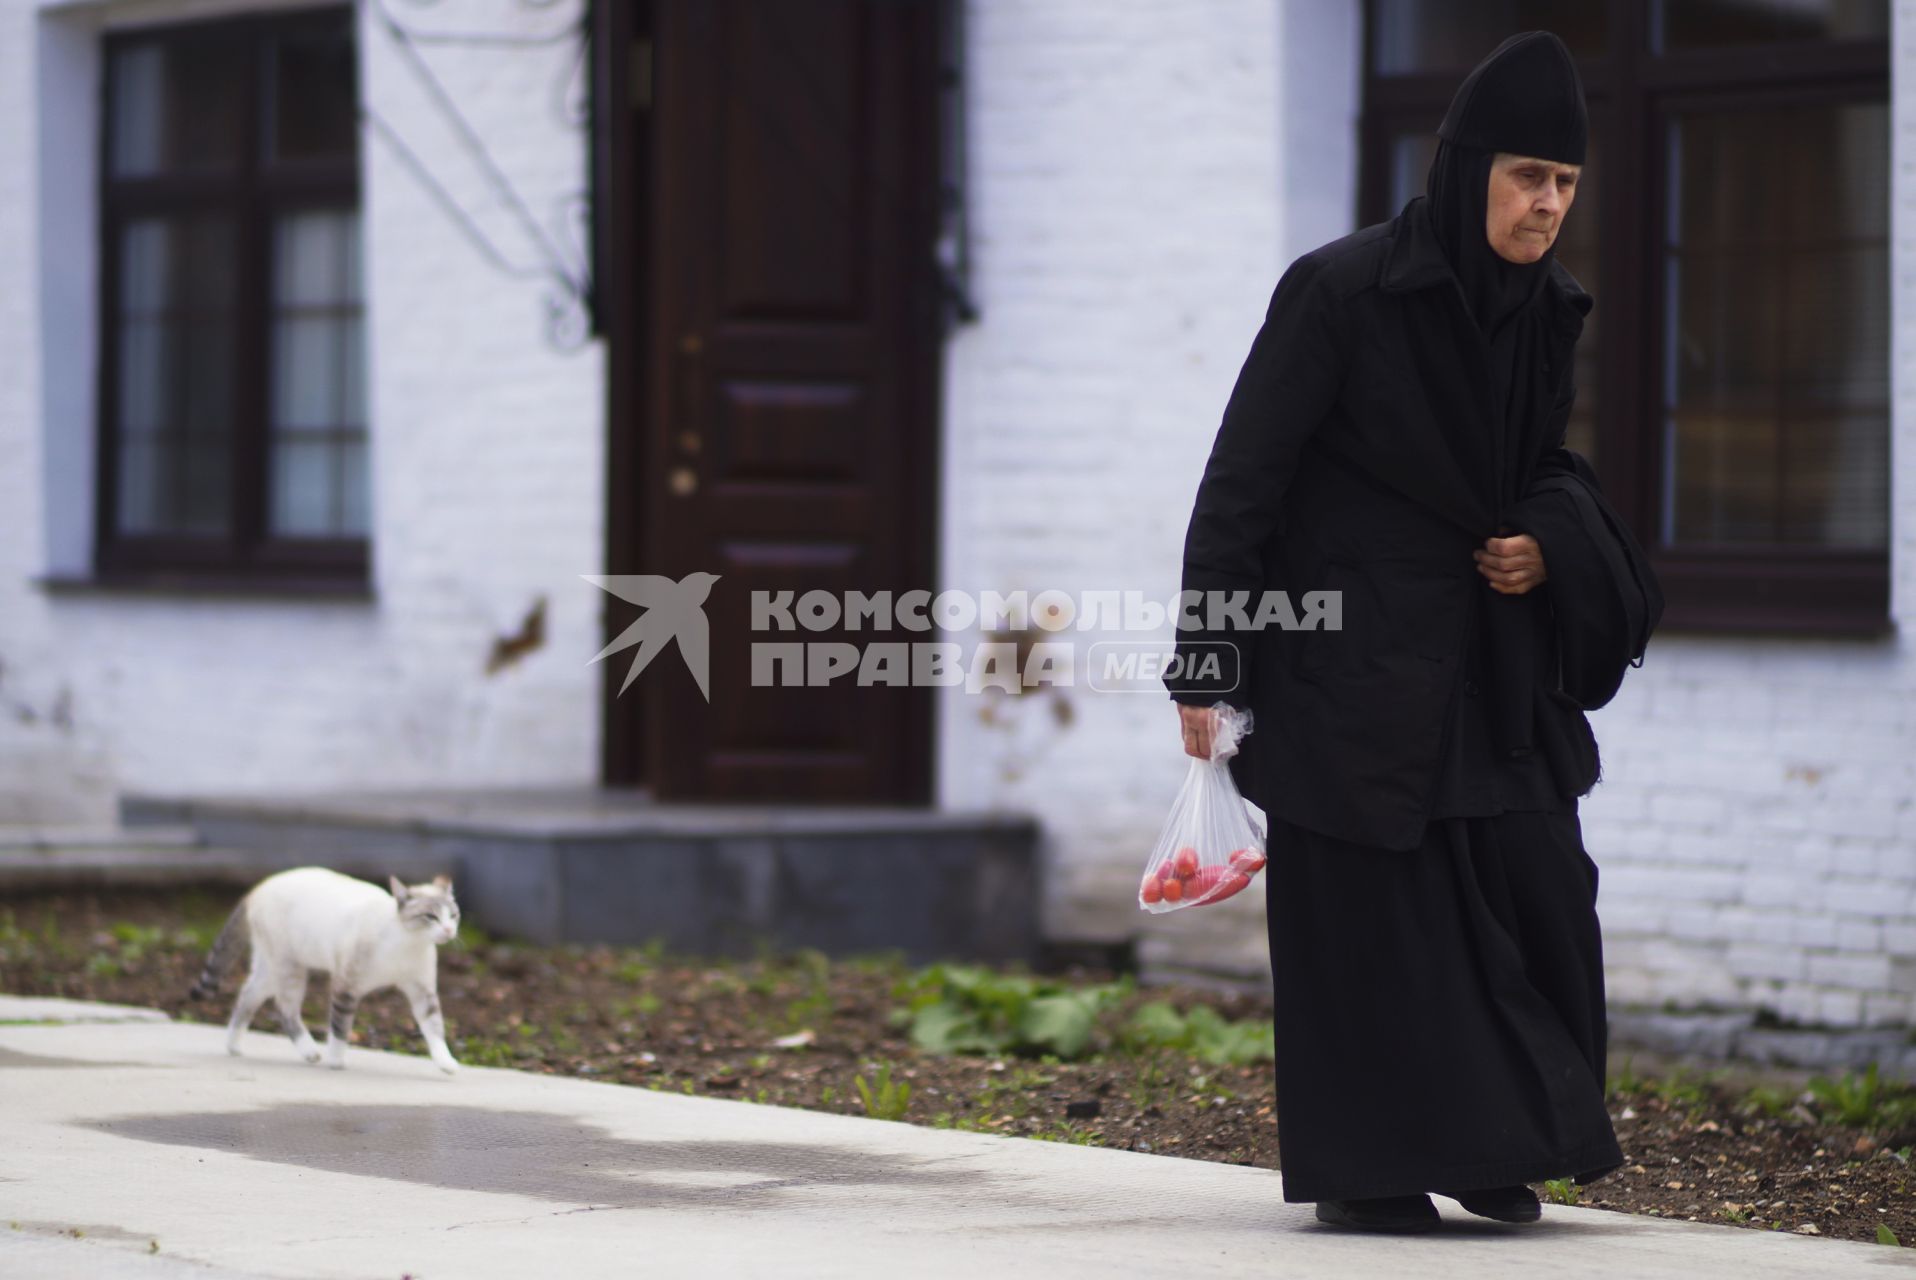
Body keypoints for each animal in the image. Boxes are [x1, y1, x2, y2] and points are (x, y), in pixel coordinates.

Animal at [186, 866, 463, 1073]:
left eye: (453, 916)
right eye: (431, 917)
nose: (449, 931)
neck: (409, 944)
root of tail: (260, 887)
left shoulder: (423, 992)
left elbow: (435, 1028)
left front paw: (447, 1064)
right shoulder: (345, 987)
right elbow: (341, 1027)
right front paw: (336, 1061)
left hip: (271, 967)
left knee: (247, 996)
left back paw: (233, 1046)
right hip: (290, 969)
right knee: (285, 1010)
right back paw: (310, 1052)